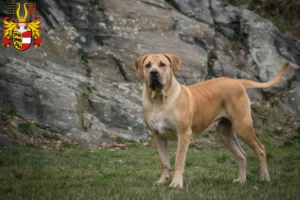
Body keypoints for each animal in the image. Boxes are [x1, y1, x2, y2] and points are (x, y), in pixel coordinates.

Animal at [133, 53, 288, 188]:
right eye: (148, 65)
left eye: (162, 64)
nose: (153, 72)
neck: (158, 100)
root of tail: (235, 80)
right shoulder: (158, 137)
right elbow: (164, 162)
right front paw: (162, 181)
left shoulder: (183, 135)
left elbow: (179, 161)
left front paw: (176, 184)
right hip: (225, 134)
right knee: (241, 155)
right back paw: (241, 181)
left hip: (243, 126)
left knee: (260, 149)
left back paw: (265, 177)